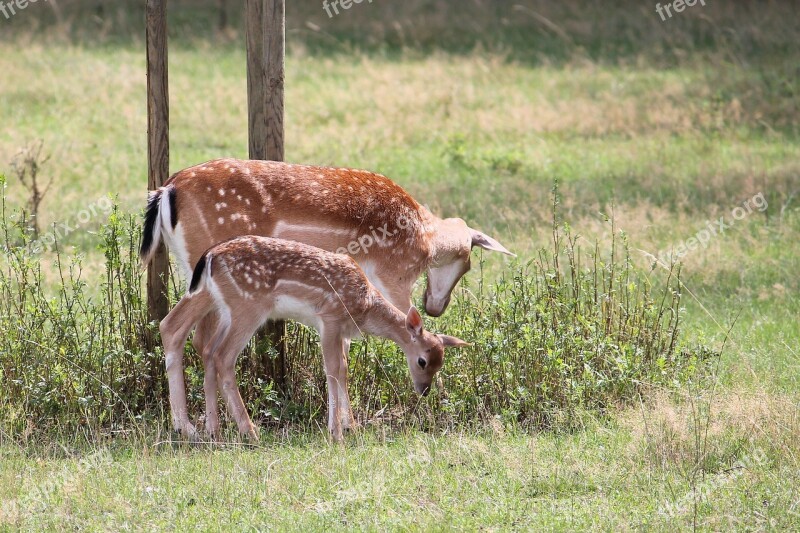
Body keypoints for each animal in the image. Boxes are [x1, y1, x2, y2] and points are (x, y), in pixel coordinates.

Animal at [160, 237, 468, 440]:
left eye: (440, 363)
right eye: (422, 361)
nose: (425, 391)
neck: (364, 307)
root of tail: (210, 256)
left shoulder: (342, 332)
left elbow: (344, 371)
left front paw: (352, 425)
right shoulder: (330, 319)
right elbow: (332, 370)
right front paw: (336, 432)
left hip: (223, 307)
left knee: (204, 347)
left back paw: (213, 429)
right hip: (247, 306)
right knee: (222, 355)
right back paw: (248, 430)